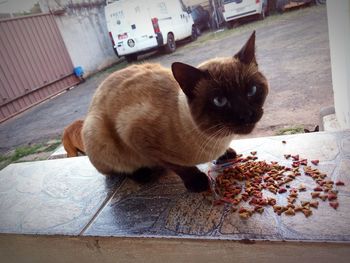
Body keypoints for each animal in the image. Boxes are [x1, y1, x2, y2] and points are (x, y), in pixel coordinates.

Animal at [82, 31, 268, 192]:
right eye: (220, 101)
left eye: (252, 90)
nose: (247, 114)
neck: (217, 139)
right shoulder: (136, 136)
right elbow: (179, 167)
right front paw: (197, 182)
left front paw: (227, 153)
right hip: (97, 132)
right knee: (118, 170)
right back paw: (143, 173)